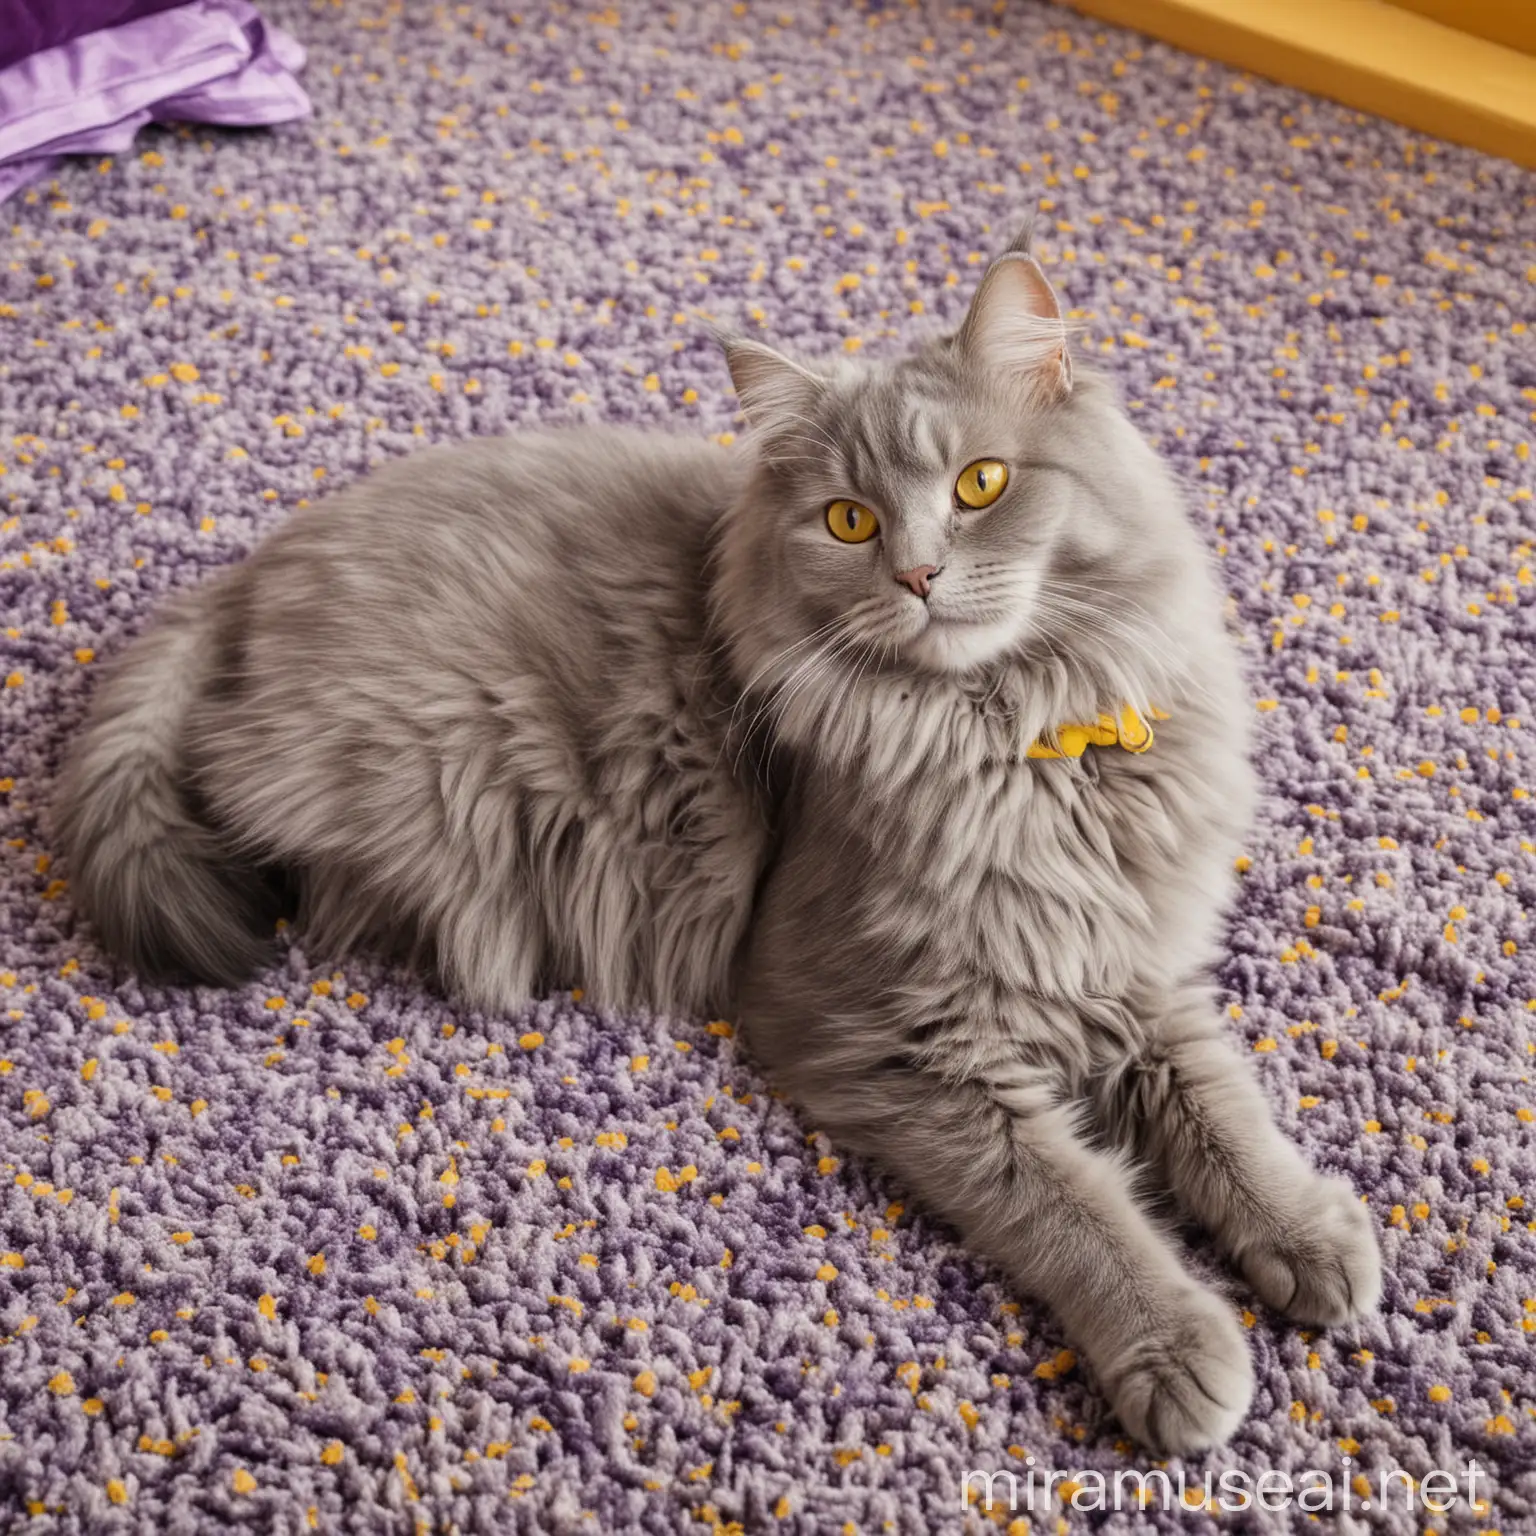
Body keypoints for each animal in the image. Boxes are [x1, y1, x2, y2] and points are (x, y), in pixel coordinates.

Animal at [56, 236, 1382, 1449]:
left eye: (982, 485)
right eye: (849, 521)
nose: (918, 575)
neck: (1015, 745)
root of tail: (244, 575)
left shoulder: (1129, 960)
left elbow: (1222, 1112)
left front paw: (1309, 1236)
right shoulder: (879, 1031)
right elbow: (1074, 1202)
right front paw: (1179, 1346)